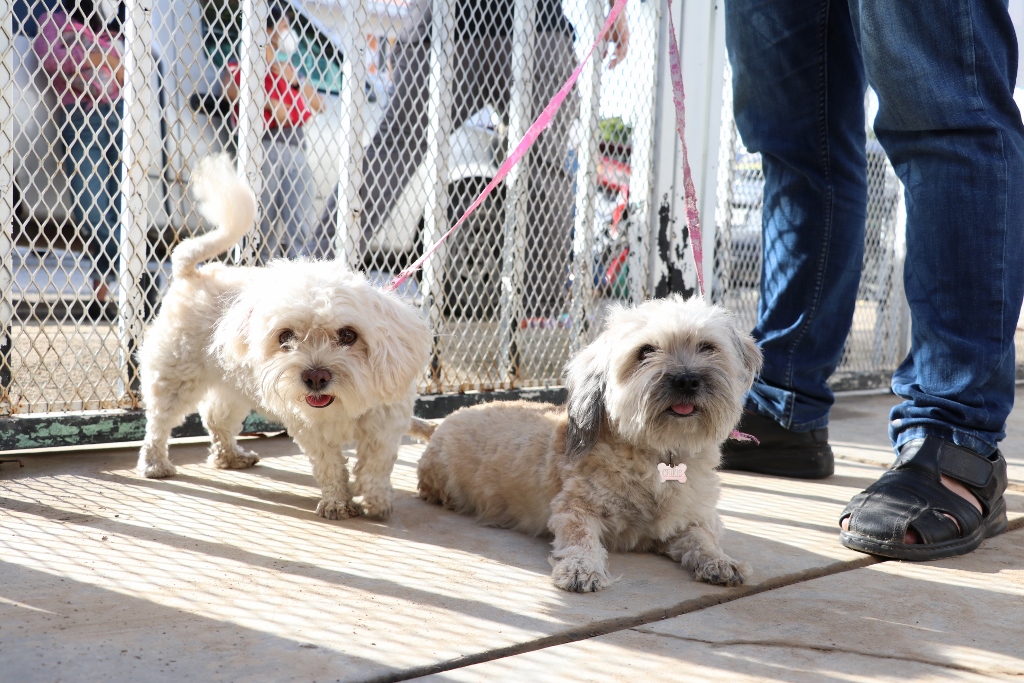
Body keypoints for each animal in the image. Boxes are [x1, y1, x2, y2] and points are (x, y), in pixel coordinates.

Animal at [134, 154, 430, 518]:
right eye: (285, 336)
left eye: (348, 335)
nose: (315, 377)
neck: (342, 405)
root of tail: (193, 273)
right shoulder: (310, 430)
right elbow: (329, 465)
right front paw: (337, 502)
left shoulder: (385, 426)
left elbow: (375, 466)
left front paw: (376, 500)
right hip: (176, 377)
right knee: (159, 422)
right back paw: (155, 464)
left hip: (233, 385)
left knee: (216, 417)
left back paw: (229, 457)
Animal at [415, 299, 761, 593]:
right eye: (645, 351)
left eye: (707, 347)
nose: (687, 380)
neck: (659, 450)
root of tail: (441, 422)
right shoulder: (575, 508)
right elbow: (581, 540)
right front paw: (582, 569)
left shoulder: (692, 519)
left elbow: (702, 539)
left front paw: (720, 561)